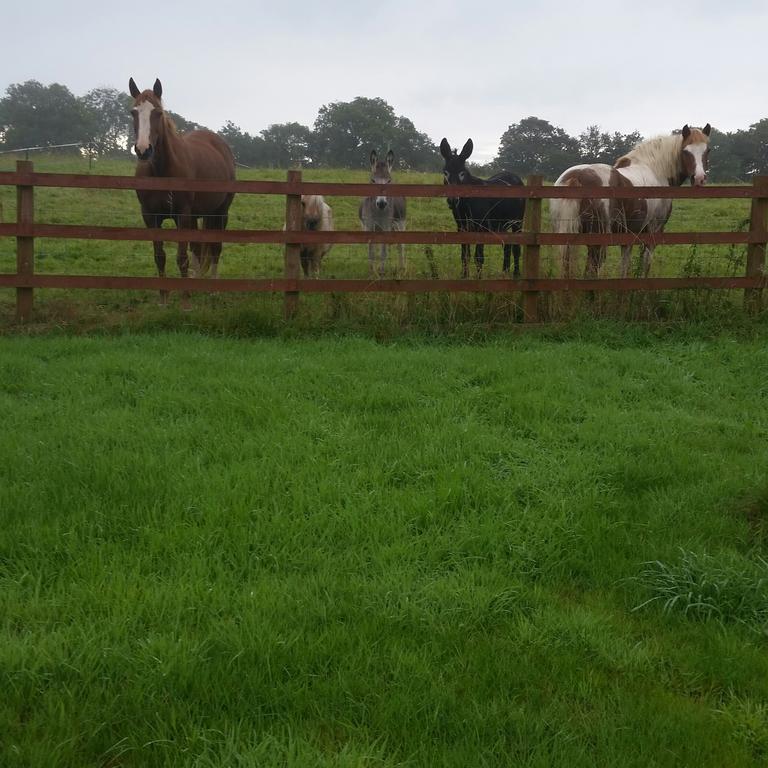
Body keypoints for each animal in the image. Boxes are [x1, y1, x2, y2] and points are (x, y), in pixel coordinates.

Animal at [128, 75, 234, 296]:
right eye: (133, 112)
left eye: (158, 113)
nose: (143, 150)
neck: (162, 172)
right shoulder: (150, 216)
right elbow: (160, 256)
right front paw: (164, 296)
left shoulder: (182, 215)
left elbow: (182, 258)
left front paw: (185, 295)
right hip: (197, 215)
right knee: (197, 248)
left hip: (220, 212)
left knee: (215, 247)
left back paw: (214, 287)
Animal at [438, 139, 528, 280]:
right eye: (445, 173)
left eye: (462, 173)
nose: (452, 200)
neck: (466, 204)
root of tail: (513, 175)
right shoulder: (462, 228)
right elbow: (464, 255)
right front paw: (464, 276)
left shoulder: (481, 227)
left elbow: (478, 257)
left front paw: (479, 279)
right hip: (502, 224)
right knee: (507, 246)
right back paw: (505, 272)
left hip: (517, 222)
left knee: (516, 248)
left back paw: (516, 274)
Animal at [548, 124, 712, 280]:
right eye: (685, 151)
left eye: (708, 150)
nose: (699, 179)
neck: (655, 171)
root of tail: (575, 177)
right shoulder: (653, 232)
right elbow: (645, 266)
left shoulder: (628, 235)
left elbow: (624, 267)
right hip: (596, 242)